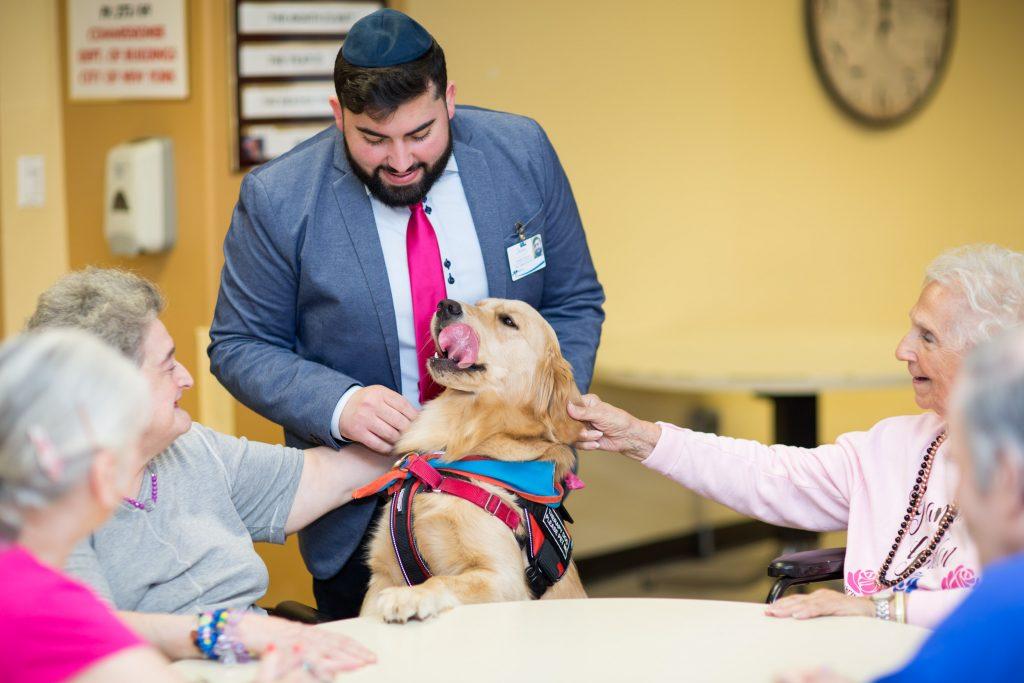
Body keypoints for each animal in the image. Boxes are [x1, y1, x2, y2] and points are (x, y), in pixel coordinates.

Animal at [358, 296, 585, 622]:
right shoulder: (382, 572)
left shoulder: (505, 578)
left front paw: (410, 595)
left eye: (508, 321)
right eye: (479, 303)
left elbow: (442, 580)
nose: (446, 305)